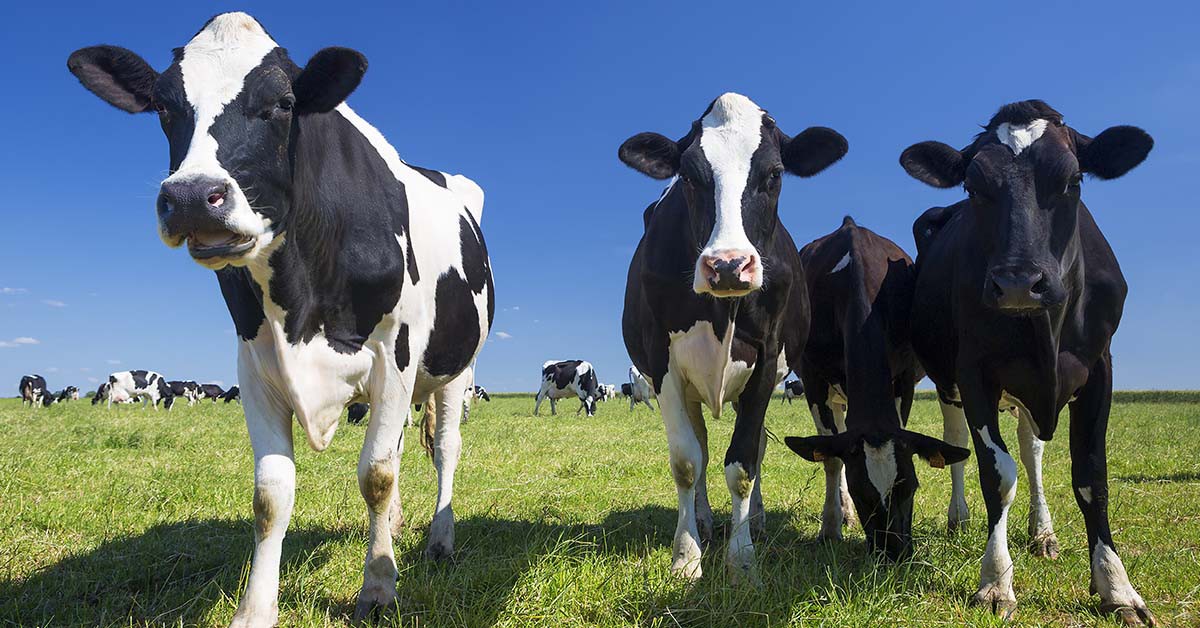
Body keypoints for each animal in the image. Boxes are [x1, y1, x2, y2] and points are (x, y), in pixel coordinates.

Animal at [69, 12, 495, 623]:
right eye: (164, 107)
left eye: (284, 102)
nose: (194, 196)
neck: (300, 299)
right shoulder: (254, 365)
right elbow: (272, 494)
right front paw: (256, 609)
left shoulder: (395, 356)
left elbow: (376, 474)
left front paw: (378, 588)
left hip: (455, 369)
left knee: (444, 448)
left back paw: (439, 538)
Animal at [618, 92, 846, 582]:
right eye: (688, 175)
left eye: (775, 174)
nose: (727, 265)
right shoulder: (662, 362)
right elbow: (687, 461)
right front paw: (687, 556)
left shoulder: (767, 357)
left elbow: (743, 463)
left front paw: (742, 561)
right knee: (702, 446)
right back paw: (703, 520)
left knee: (754, 446)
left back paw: (755, 521)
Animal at [782, 217, 969, 559]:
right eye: (860, 493)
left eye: (910, 486)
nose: (893, 552)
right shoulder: (814, 381)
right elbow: (831, 458)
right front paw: (830, 526)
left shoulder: (904, 377)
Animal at [899, 99, 1154, 624]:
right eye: (973, 186)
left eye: (1073, 180)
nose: (1018, 283)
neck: (1046, 331)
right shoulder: (975, 373)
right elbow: (997, 474)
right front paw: (996, 581)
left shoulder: (1100, 367)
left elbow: (1090, 475)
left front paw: (1116, 585)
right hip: (951, 380)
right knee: (958, 441)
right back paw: (959, 517)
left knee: (1032, 450)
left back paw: (1043, 533)